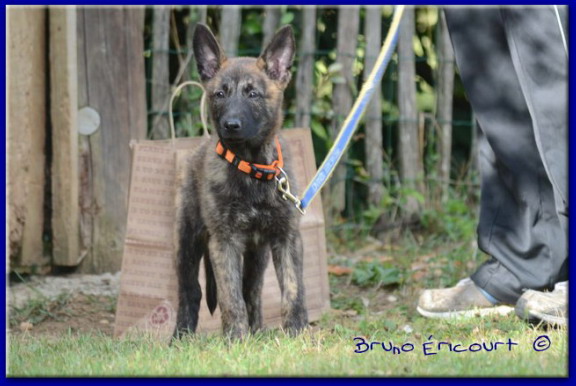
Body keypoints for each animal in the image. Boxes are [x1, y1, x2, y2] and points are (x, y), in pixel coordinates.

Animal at [173, 23, 308, 340]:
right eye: (220, 94)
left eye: (253, 94)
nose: (230, 125)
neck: (252, 169)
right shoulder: (225, 241)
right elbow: (229, 296)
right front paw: (236, 338)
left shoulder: (286, 237)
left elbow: (293, 290)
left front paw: (296, 332)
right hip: (188, 239)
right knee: (191, 291)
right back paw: (180, 338)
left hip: (257, 254)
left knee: (252, 289)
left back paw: (257, 330)